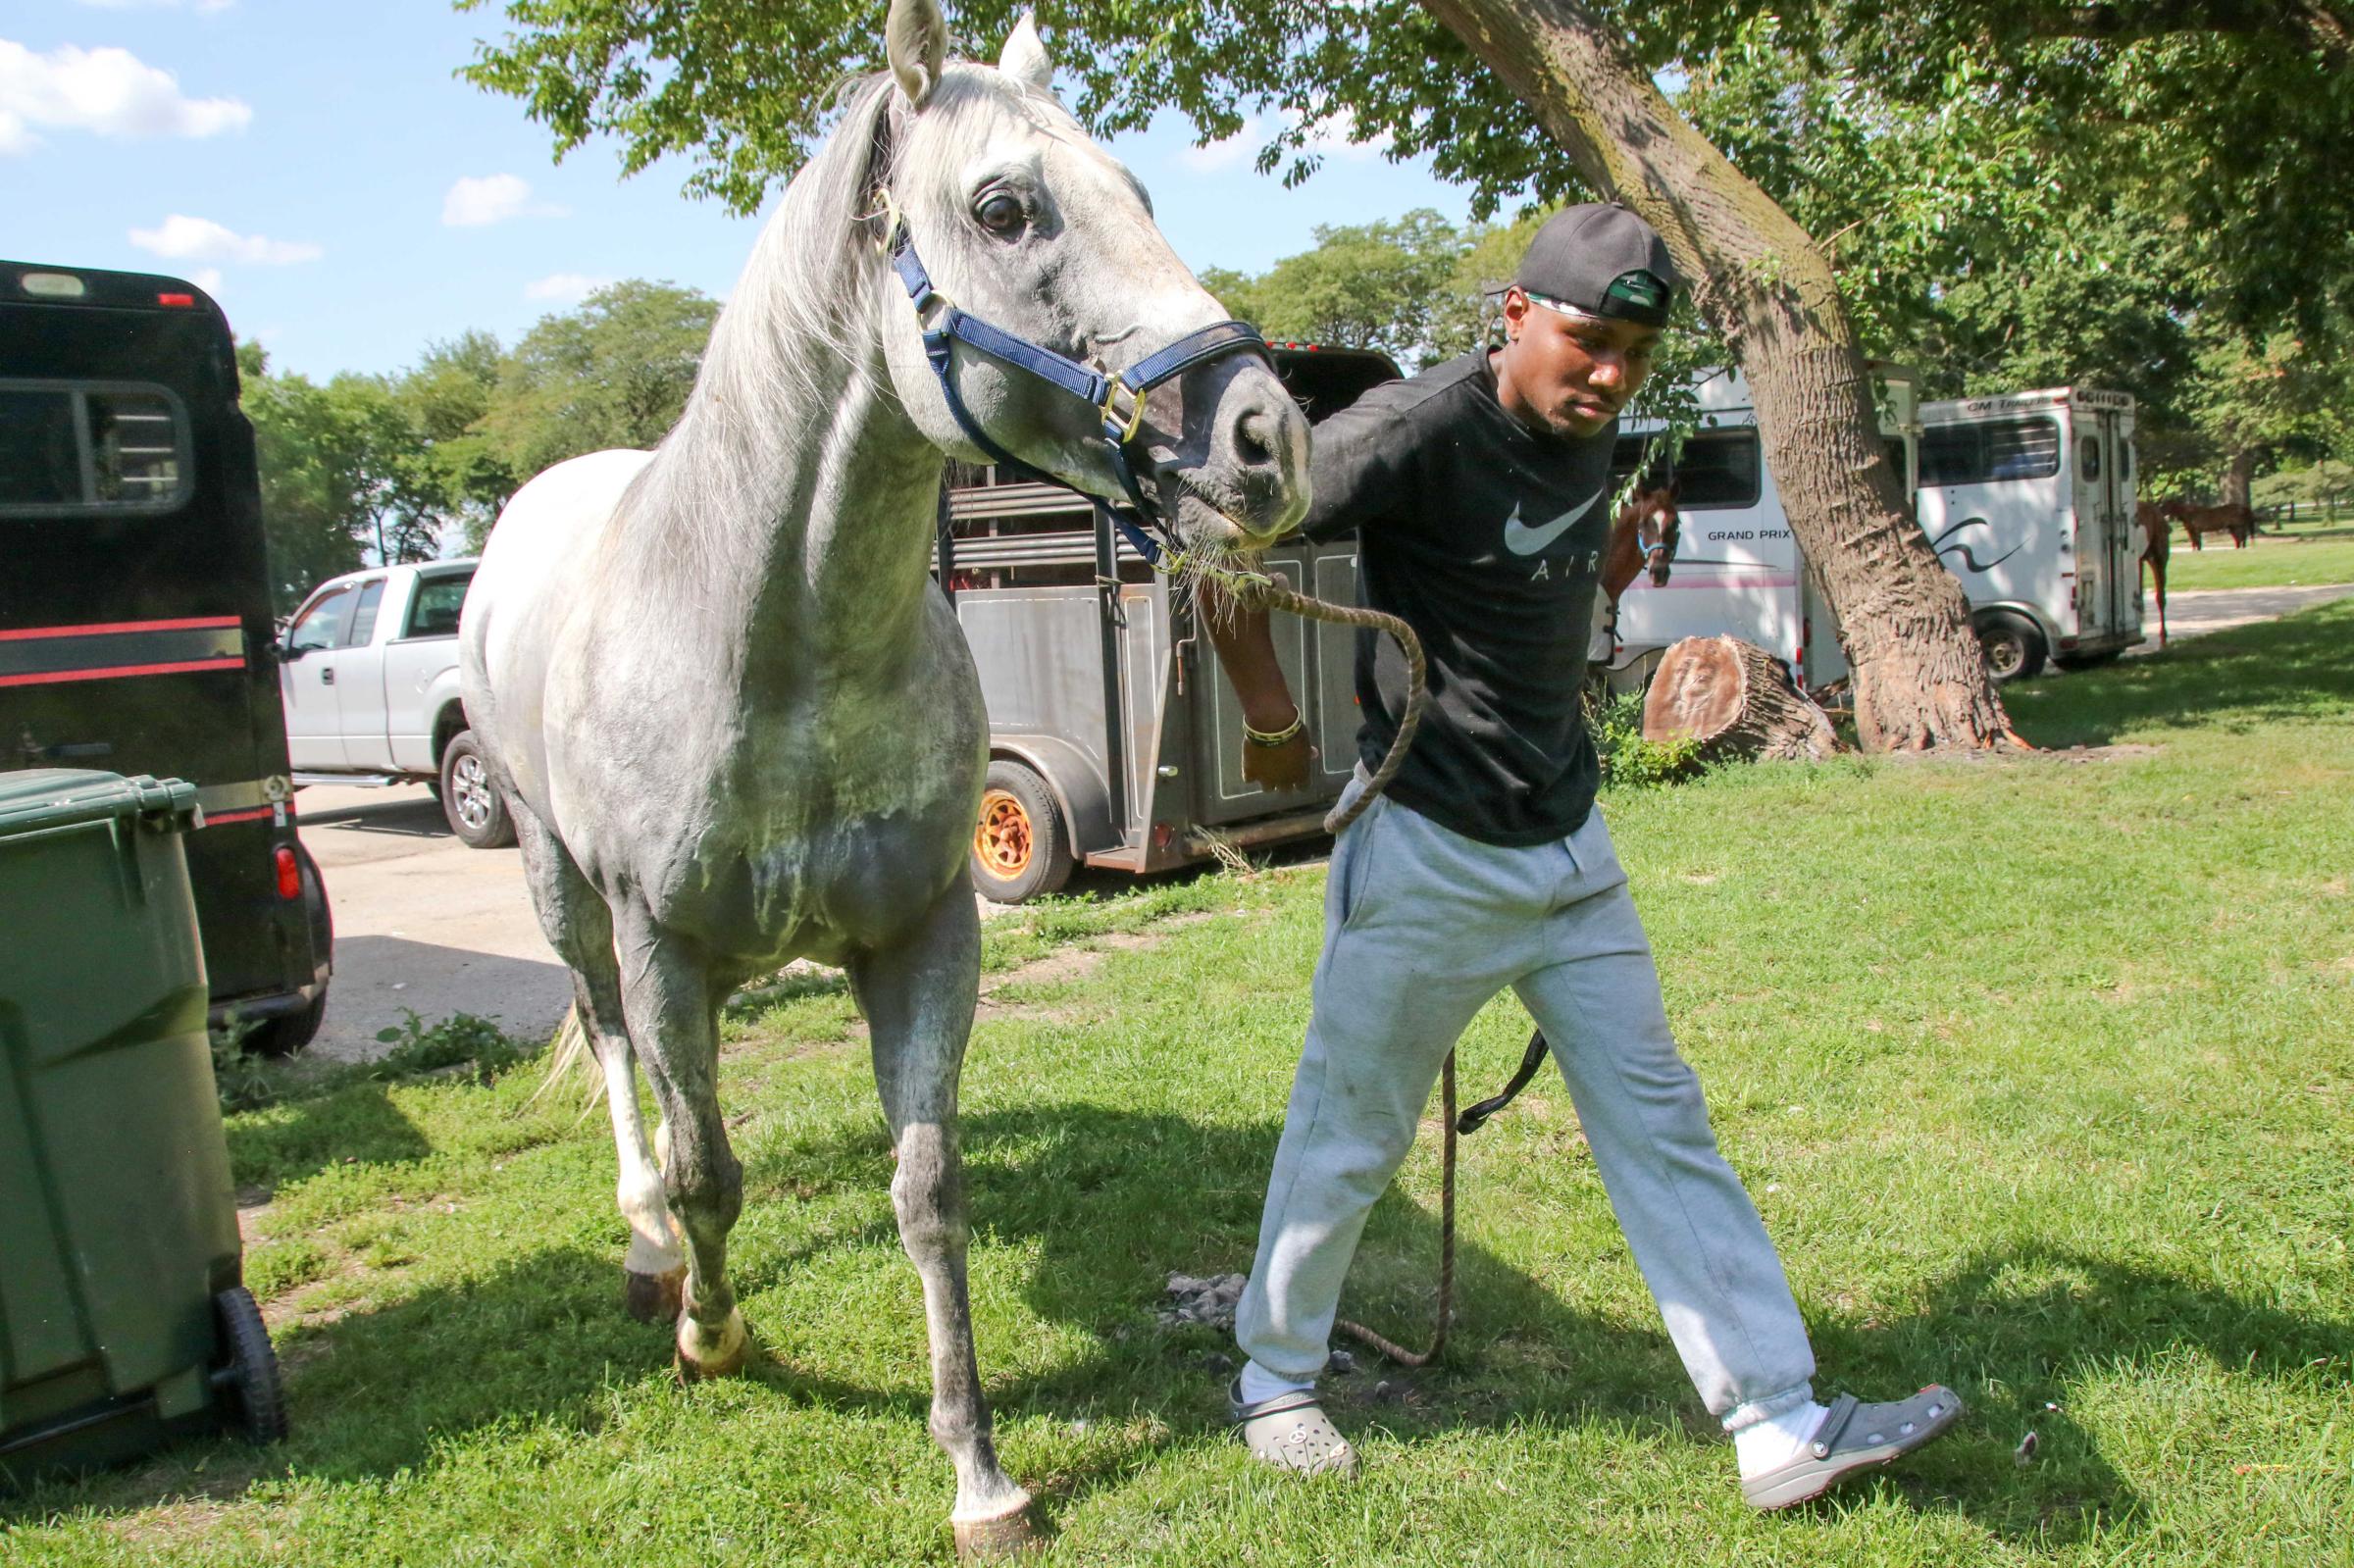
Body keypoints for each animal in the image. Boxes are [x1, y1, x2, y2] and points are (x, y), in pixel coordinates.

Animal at [459, 0, 1308, 1535]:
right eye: (1003, 206)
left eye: (1141, 192)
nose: (1269, 437)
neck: (778, 646)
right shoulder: (664, 945)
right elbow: (710, 1172)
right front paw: (714, 1333)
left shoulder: (925, 934)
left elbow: (927, 1190)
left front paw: (978, 1469)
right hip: (565, 893)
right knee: (616, 1060)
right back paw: (645, 1255)